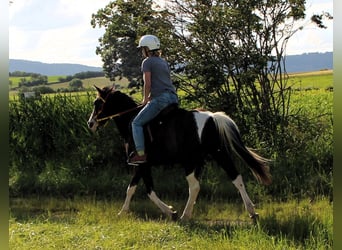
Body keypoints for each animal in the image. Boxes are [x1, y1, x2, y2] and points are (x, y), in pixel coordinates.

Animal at [88, 86, 272, 221]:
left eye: (97, 103)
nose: (90, 123)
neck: (130, 121)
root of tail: (214, 117)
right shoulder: (143, 165)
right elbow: (137, 189)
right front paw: (124, 212)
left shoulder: (141, 164)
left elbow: (142, 190)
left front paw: (169, 212)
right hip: (216, 155)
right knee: (235, 178)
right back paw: (252, 212)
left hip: (193, 161)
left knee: (196, 186)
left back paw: (185, 215)